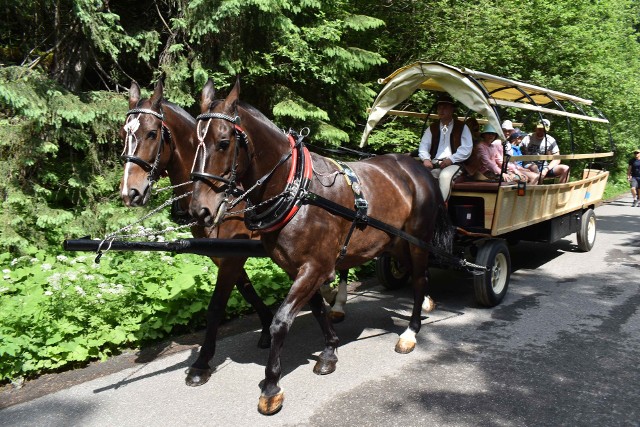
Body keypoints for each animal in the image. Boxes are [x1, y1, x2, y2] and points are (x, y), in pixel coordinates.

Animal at [119, 81, 274, 388]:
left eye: (151, 133)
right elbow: (247, 290)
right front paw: (266, 326)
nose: (130, 193)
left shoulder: (233, 255)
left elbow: (216, 306)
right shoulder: (224, 255)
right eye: (123, 133)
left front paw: (202, 362)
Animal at [188, 79, 452, 414]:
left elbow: (281, 321)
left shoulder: (315, 266)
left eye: (223, 142)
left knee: (419, 279)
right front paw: (329, 350)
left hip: (418, 240)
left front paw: (271, 386)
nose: (199, 211)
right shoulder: (296, 267)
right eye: (194, 142)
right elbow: (315, 308)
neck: (297, 191)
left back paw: (410, 332)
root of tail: (418, 168)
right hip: (395, 243)